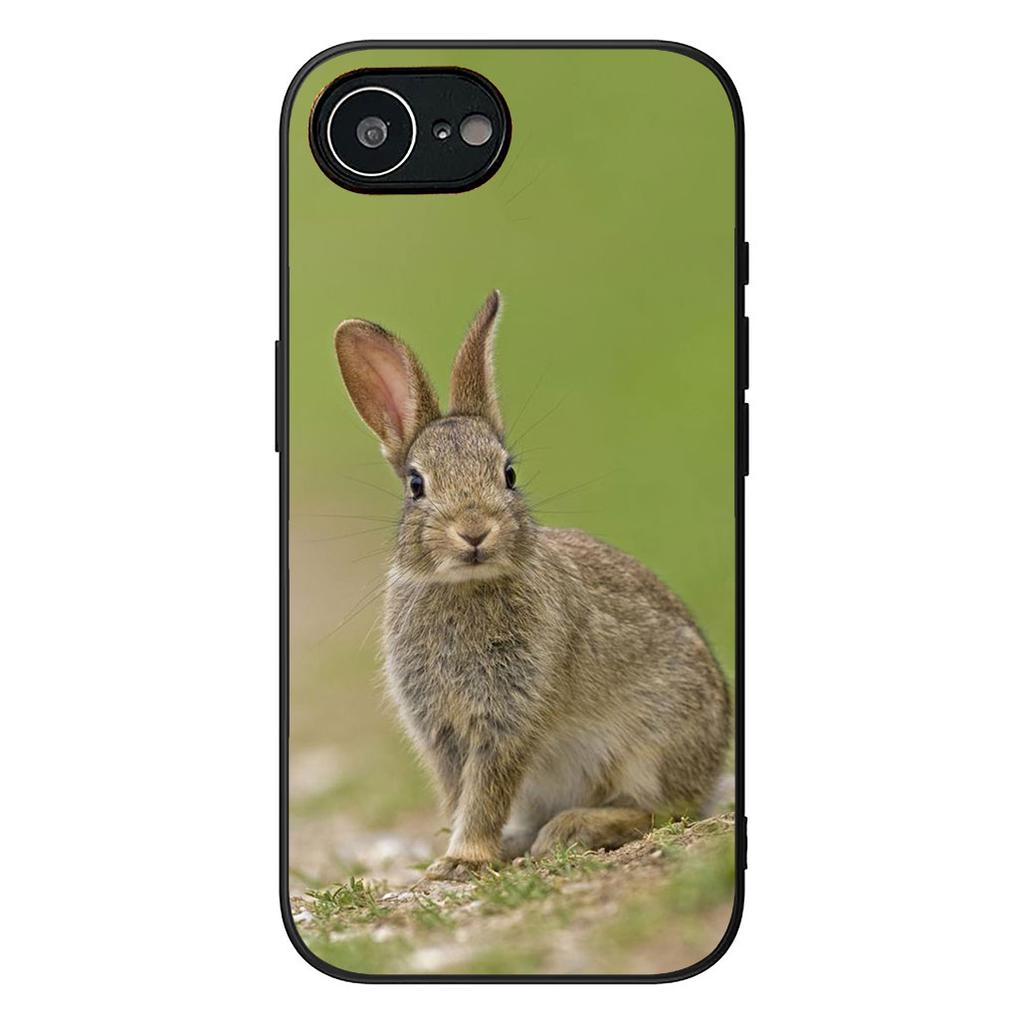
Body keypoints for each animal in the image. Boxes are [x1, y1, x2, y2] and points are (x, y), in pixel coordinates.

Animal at [334, 291, 731, 880]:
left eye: (509, 474)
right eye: (416, 485)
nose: (475, 530)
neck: (466, 586)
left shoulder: (509, 715)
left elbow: (485, 790)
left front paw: (464, 858)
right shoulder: (441, 729)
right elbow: (461, 794)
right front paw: (461, 857)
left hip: (652, 744)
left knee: (660, 810)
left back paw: (569, 830)